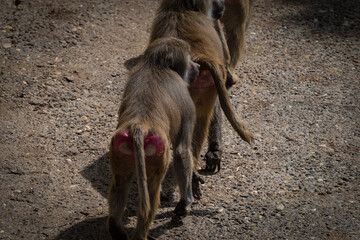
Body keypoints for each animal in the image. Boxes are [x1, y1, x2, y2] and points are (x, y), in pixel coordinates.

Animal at [107, 38, 201, 240]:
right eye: (189, 59)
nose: (197, 66)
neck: (155, 64)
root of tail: (139, 125)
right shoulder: (187, 101)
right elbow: (182, 150)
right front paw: (186, 203)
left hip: (119, 147)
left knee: (120, 183)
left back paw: (116, 228)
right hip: (157, 151)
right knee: (151, 193)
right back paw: (140, 234)